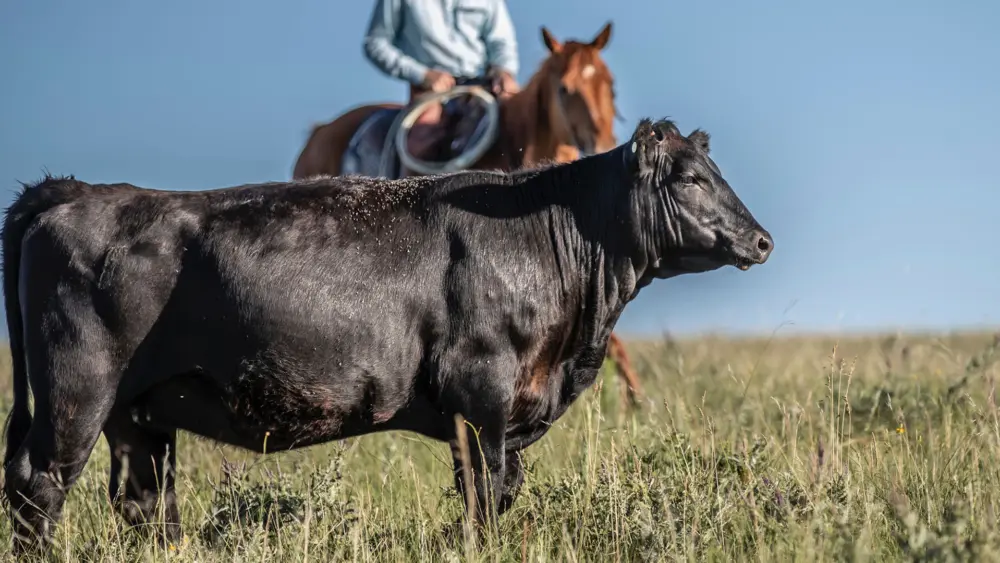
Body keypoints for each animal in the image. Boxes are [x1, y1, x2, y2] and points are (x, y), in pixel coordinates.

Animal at [1, 117, 772, 554]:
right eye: (692, 177)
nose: (761, 239)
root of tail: (76, 190)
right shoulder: (482, 400)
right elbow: (487, 496)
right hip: (77, 394)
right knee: (40, 488)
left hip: (140, 416)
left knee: (142, 502)